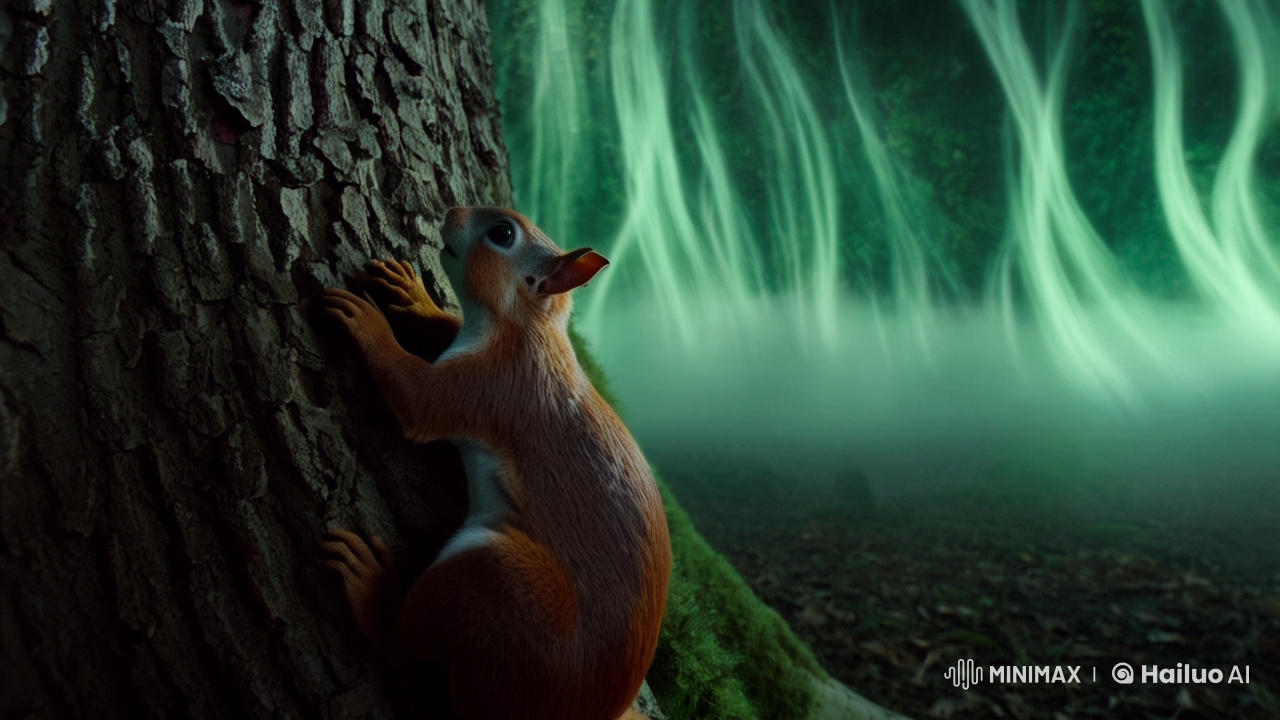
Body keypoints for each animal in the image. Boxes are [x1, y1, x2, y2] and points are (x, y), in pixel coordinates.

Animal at [321, 207, 672, 720]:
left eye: (502, 234)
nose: (450, 212)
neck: (523, 330)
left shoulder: (492, 388)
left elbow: (416, 397)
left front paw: (369, 323)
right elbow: (445, 327)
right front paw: (415, 297)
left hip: (500, 585)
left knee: (401, 647)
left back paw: (371, 589)